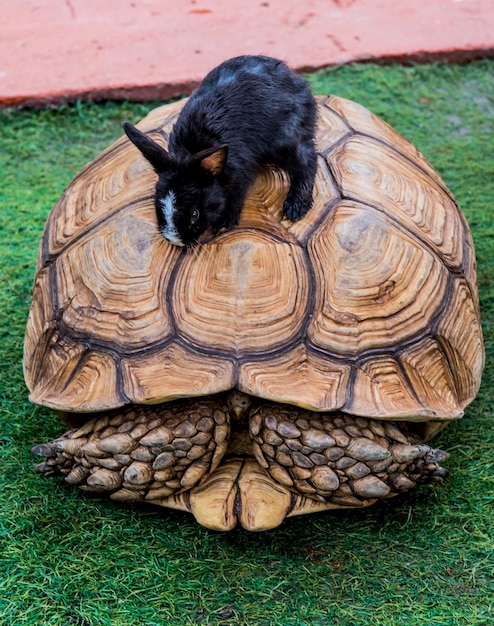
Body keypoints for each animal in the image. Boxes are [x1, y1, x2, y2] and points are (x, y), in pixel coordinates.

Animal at [123, 54, 316, 246]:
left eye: (194, 214)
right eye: (158, 204)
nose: (176, 241)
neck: (192, 149)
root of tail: (295, 79)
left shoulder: (241, 174)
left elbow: (236, 195)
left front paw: (224, 223)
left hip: (285, 141)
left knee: (307, 162)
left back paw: (295, 208)